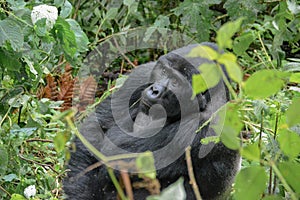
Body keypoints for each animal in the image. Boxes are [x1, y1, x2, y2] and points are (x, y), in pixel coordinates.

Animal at [63, 42, 241, 200]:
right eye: (163, 71)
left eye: (175, 83)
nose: (155, 90)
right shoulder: (142, 74)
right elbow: (96, 130)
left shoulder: (205, 126)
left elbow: (115, 152)